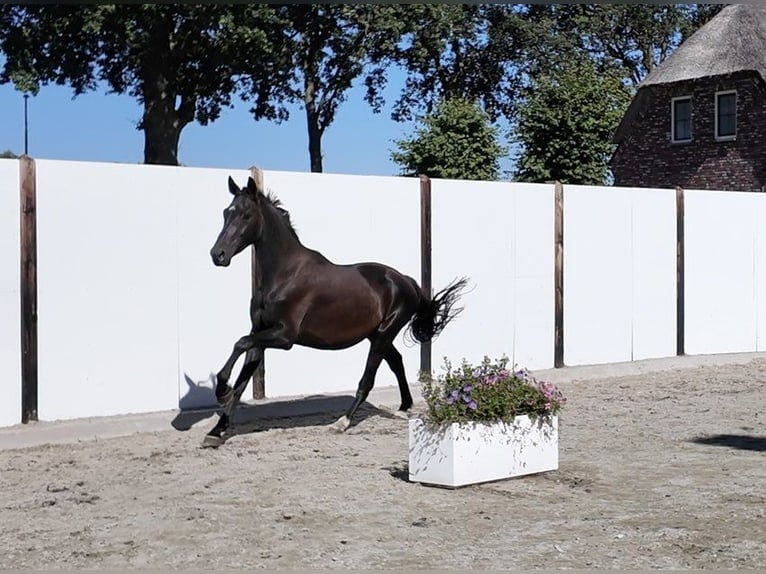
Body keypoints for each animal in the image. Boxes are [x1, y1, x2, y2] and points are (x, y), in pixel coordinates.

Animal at [203, 175, 468, 448]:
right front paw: (216, 431)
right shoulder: (261, 332)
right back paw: (404, 408)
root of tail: (406, 280)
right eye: (226, 212)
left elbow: (240, 343)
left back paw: (343, 422)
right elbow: (242, 380)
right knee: (396, 361)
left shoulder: (284, 336)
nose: (218, 255)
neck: (284, 274)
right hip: (376, 334)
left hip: (384, 333)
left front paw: (221, 391)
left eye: (246, 215)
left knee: (368, 379)